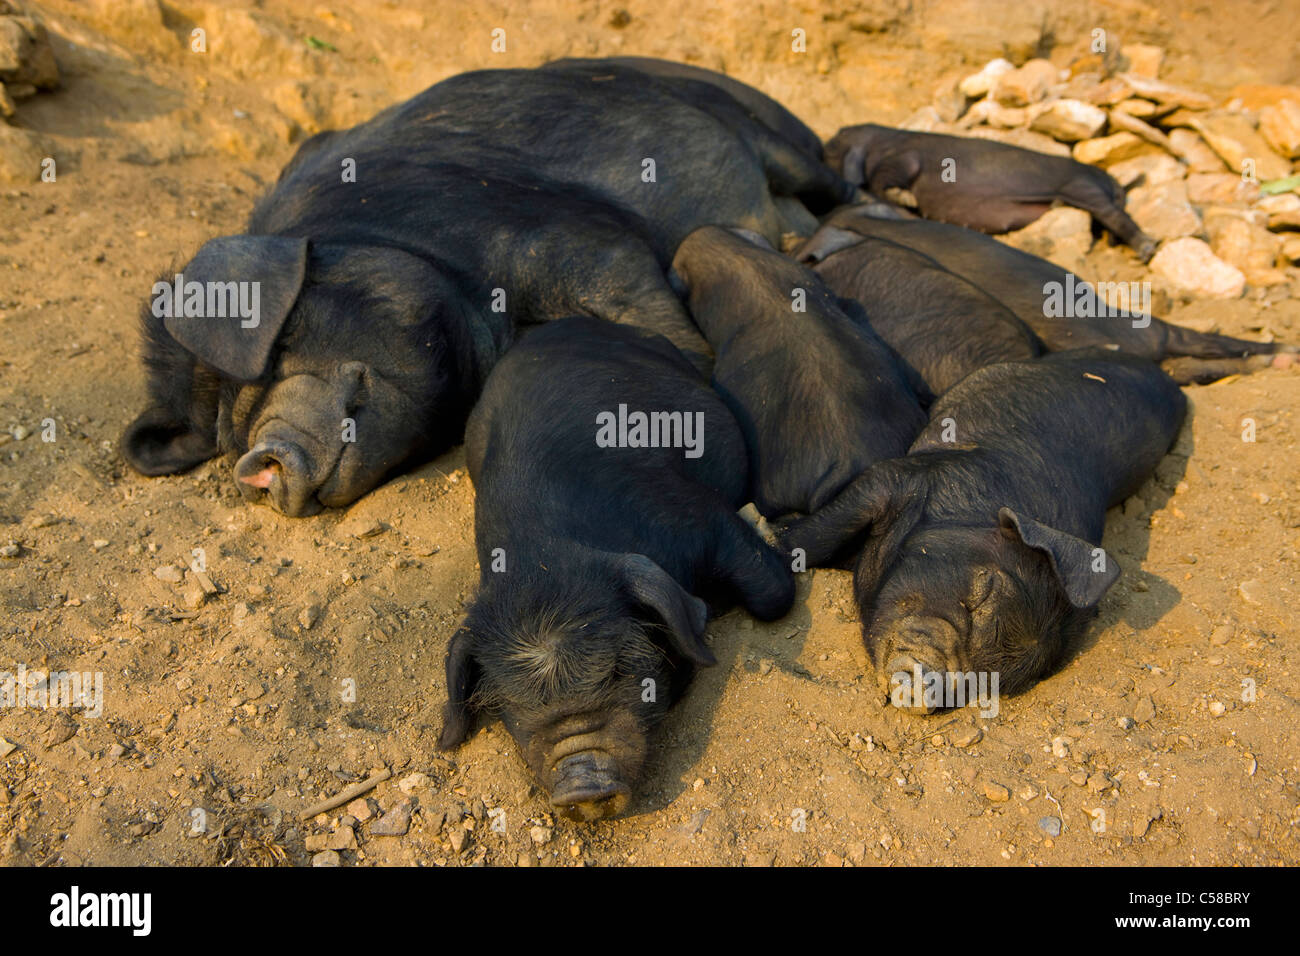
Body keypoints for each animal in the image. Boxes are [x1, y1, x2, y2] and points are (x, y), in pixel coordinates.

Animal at [436, 316, 790, 822]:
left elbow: (772, 594)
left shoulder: (695, 516)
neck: (542, 559)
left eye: (621, 669)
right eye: (513, 703)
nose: (581, 781)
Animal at [780, 351, 1190, 712]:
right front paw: (775, 533)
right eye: (984, 592)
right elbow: (828, 526)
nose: (929, 687)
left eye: (991, 681)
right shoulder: (906, 476)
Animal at [821, 127, 1159, 264]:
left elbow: (889, 177)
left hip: (1082, 186)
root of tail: (1111, 180)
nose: (824, 144)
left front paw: (909, 201)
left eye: (837, 141)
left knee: (1115, 216)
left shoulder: (903, 156)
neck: (878, 142)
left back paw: (1147, 249)